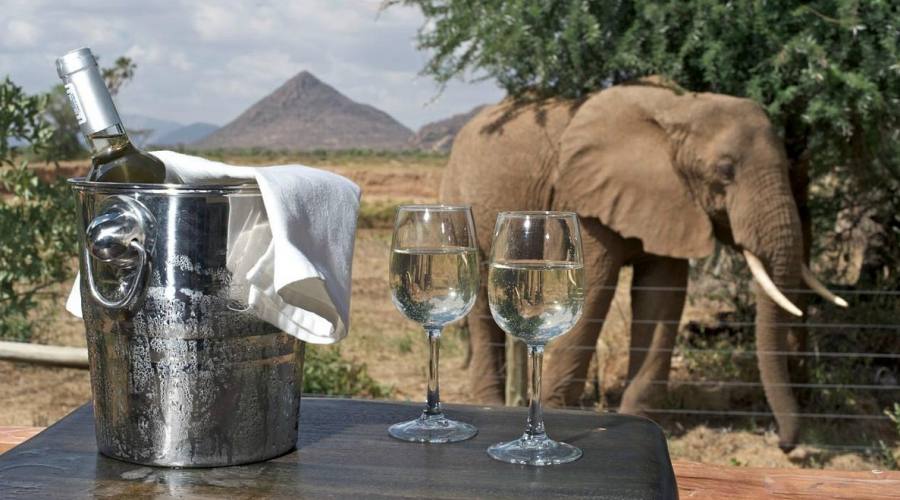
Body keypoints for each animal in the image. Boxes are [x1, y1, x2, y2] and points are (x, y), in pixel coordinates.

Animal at [440, 80, 848, 450]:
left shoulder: (675, 200)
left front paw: (639, 419)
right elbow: (597, 291)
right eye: (725, 171)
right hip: (462, 191)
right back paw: (491, 405)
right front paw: (560, 411)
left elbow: (662, 296)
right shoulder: (585, 201)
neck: (679, 110)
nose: (784, 444)